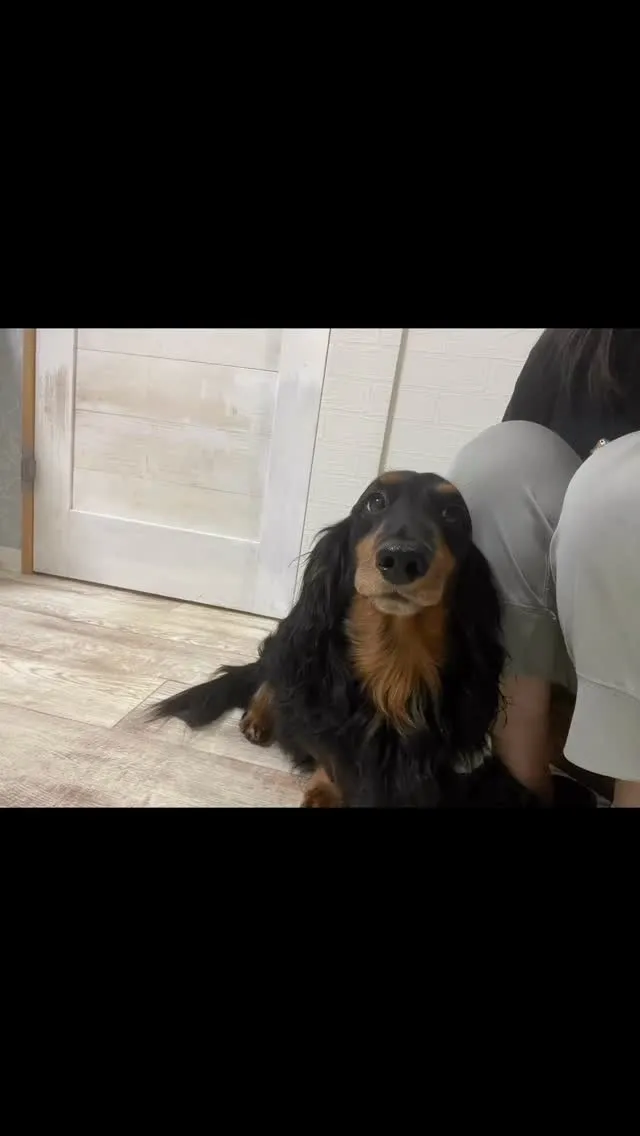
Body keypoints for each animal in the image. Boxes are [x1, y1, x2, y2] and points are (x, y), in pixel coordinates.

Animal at [151, 471, 537, 808]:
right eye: (374, 502)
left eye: (452, 514)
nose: (402, 559)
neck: (393, 663)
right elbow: (330, 754)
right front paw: (325, 792)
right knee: (271, 675)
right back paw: (259, 717)